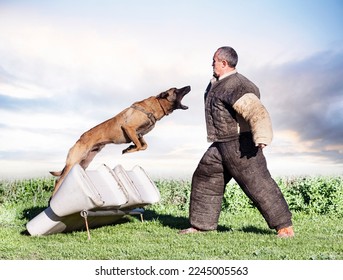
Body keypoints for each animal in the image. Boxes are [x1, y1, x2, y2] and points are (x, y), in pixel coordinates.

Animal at [50, 86, 192, 196]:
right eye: (176, 90)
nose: (189, 86)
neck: (156, 105)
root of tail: (79, 139)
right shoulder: (128, 128)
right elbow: (139, 146)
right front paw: (128, 149)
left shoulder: (139, 134)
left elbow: (143, 145)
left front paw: (130, 148)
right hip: (72, 162)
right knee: (58, 181)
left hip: (83, 164)